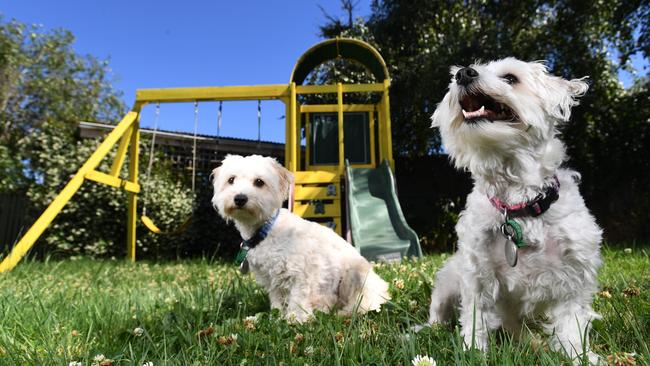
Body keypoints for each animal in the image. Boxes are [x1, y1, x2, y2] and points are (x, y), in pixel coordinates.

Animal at [211, 154, 390, 324]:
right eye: (231, 180)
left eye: (259, 182)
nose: (240, 198)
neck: (266, 230)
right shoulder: (273, 281)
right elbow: (277, 303)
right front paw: (276, 318)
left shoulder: (300, 275)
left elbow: (298, 299)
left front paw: (296, 319)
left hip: (353, 276)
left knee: (365, 303)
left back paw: (345, 312)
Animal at [422, 58, 600, 362]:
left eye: (510, 78)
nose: (463, 73)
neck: (518, 206)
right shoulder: (477, 275)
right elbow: (475, 320)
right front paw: (474, 354)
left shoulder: (574, 276)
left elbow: (572, 325)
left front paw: (579, 356)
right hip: (447, 282)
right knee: (437, 314)